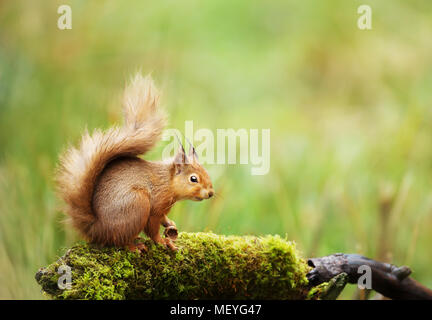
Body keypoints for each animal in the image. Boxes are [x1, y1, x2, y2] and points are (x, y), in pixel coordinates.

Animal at [55, 74, 214, 251]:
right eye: (193, 179)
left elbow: (163, 219)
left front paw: (170, 224)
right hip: (138, 204)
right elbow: (153, 227)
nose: (211, 193)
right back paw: (134, 246)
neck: (168, 182)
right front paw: (163, 241)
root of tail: (96, 229)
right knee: (119, 240)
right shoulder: (156, 206)